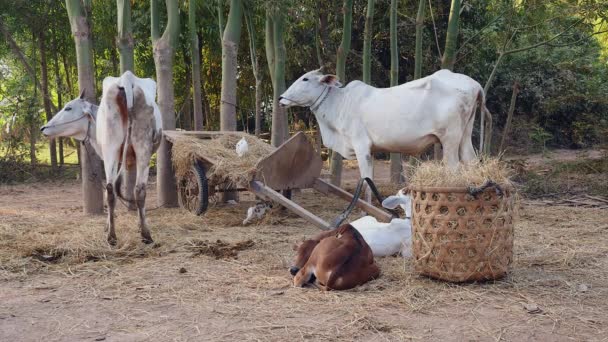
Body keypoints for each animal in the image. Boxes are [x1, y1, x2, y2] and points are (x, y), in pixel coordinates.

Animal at [41, 71, 163, 244]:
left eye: (68, 107)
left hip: (119, 149)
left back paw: (120, 234)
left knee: (117, 190)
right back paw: (134, 234)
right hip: (136, 148)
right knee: (132, 190)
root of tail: (127, 79)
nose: (43, 128)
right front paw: (135, 224)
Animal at [278, 69, 492, 203]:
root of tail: (475, 85)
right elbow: (369, 182)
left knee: (454, 169)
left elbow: (365, 181)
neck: (340, 103)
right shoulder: (371, 150)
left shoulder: (361, 146)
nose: (280, 98)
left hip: (450, 140)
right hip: (464, 137)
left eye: (305, 79)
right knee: (471, 162)